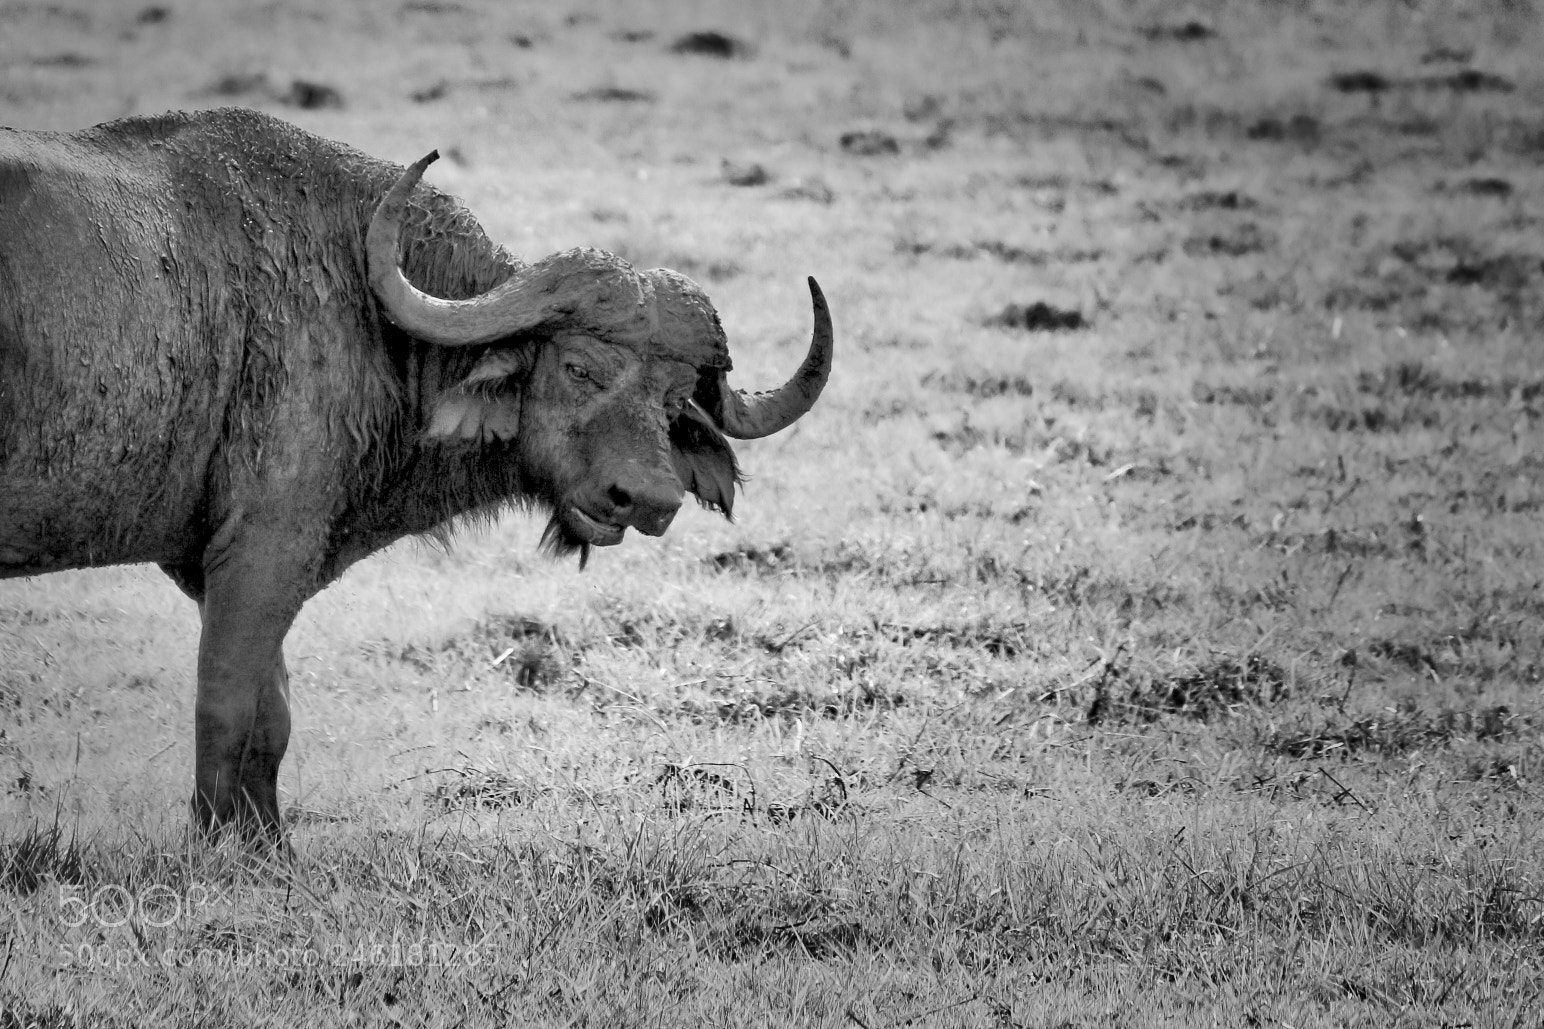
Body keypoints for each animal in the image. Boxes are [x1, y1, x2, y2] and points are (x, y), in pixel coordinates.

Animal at [0, 107, 832, 836]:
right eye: (578, 367)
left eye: (674, 399)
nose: (649, 499)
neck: (356, 302)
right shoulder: (263, 549)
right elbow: (226, 707)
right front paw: (207, 848)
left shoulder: (242, 566)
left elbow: (273, 715)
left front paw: (268, 848)